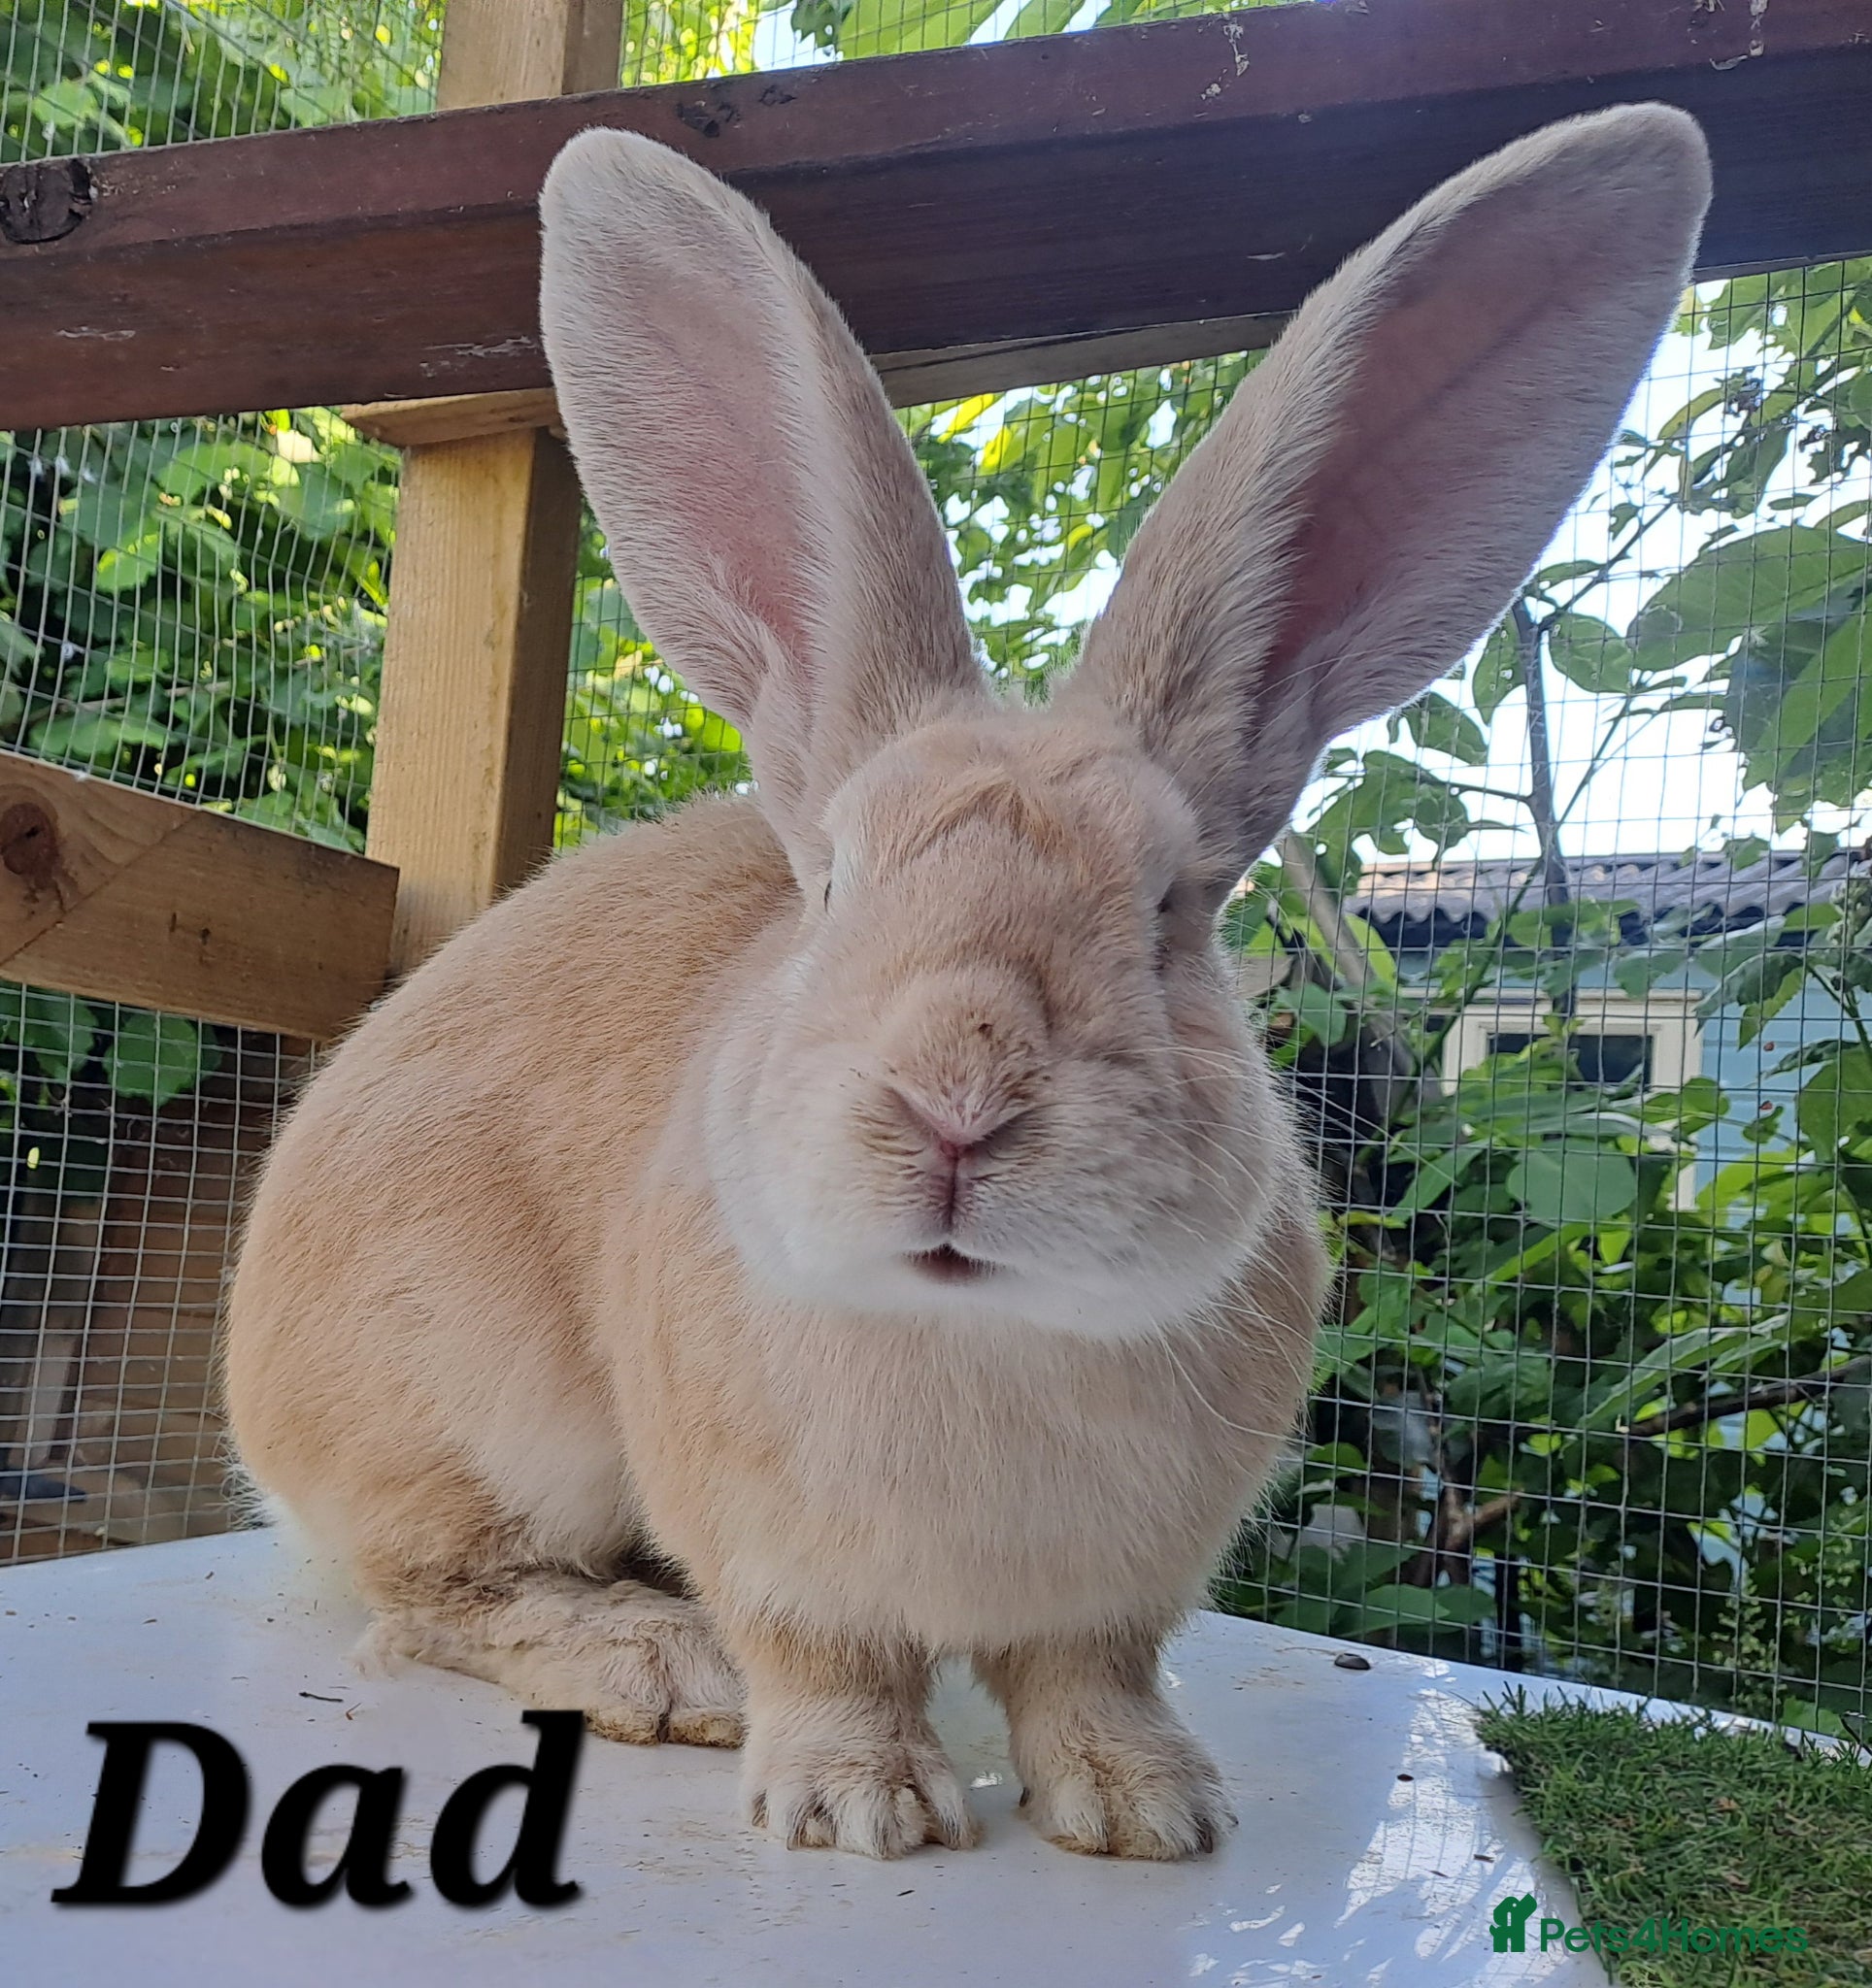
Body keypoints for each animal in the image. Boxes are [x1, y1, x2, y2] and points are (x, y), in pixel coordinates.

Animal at [224, 103, 1709, 1862]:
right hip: (465, 1408)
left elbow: (1090, 1682)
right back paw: (656, 1656)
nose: (956, 1105)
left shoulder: (1114, 1600)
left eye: (1167, 908)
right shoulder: (780, 1559)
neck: (975, 1332)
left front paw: (1150, 1815)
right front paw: (855, 1812)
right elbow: (829, 1666)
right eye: (835, 886)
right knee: (429, 1592)